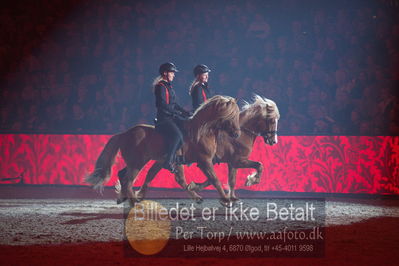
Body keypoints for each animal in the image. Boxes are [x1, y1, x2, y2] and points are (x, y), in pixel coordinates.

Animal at [85, 95, 241, 206]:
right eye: (231, 115)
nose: (237, 134)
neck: (201, 131)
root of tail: (124, 134)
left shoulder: (178, 161)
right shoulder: (204, 160)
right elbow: (214, 179)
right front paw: (226, 201)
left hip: (144, 161)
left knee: (125, 174)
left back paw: (126, 198)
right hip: (137, 163)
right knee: (128, 180)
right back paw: (134, 202)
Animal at [136, 95, 280, 204]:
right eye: (272, 120)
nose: (273, 141)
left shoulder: (231, 162)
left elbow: (231, 180)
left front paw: (232, 197)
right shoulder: (237, 161)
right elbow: (259, 165)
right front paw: (251, 181)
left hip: (165, 160)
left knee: (154, 173)